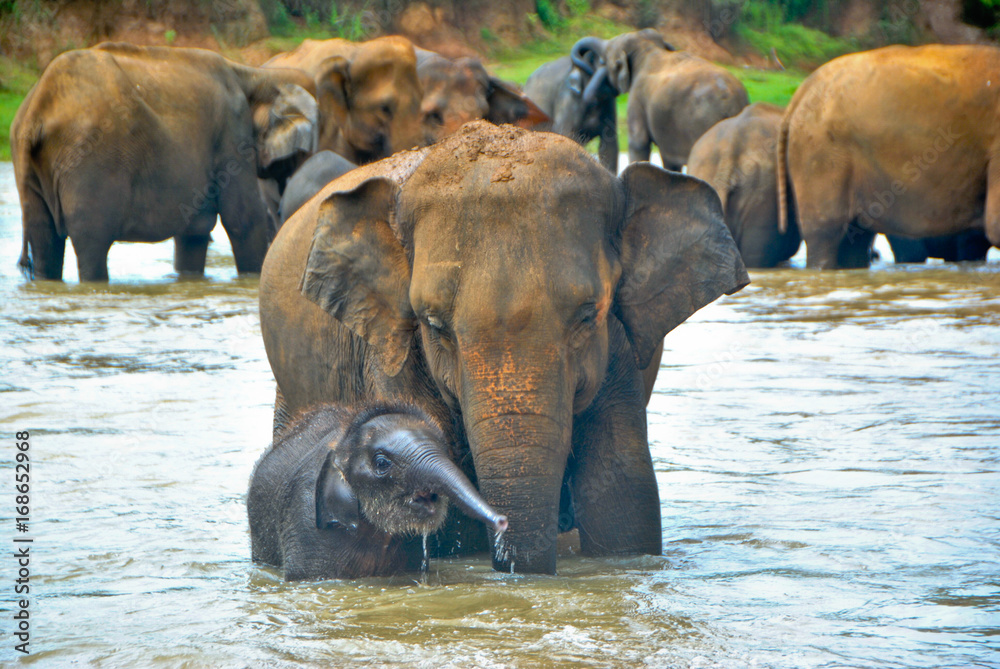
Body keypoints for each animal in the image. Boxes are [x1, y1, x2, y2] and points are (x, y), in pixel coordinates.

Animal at [11, 42, 317, 282]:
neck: (255, 74)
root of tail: (37, 110)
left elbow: (195, 231)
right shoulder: (233, 131)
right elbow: (243, 218)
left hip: (33, 166)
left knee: (44, 240)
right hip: (88, 162)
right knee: (91, 244)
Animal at [600, 29, 749, 171]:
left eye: (606, 61)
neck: (648, 47)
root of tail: (730, 98)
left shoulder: (637, 97)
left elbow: (639, 142)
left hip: (705, 121)